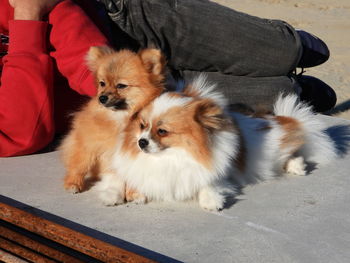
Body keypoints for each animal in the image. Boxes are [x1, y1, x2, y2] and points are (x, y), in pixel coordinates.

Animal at [59, 46, 165, 205]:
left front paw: (135, 193)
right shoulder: (110, 153)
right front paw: (114, 193)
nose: (102, 97)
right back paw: (73, 183)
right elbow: (115, 175)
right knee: (77, 166)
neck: (122, 118)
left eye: (121, 86)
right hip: (85, 149)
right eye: (102, 83)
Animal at [94, 75, 338, 211]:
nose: (141, 142)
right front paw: (119, 194)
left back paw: (297, 166)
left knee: (292, 151)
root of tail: (279, 120)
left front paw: (211, 201)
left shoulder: (213, 172)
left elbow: (208, 183)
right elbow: (122, 178)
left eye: (162, 131)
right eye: (143, 125)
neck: (173, 156)